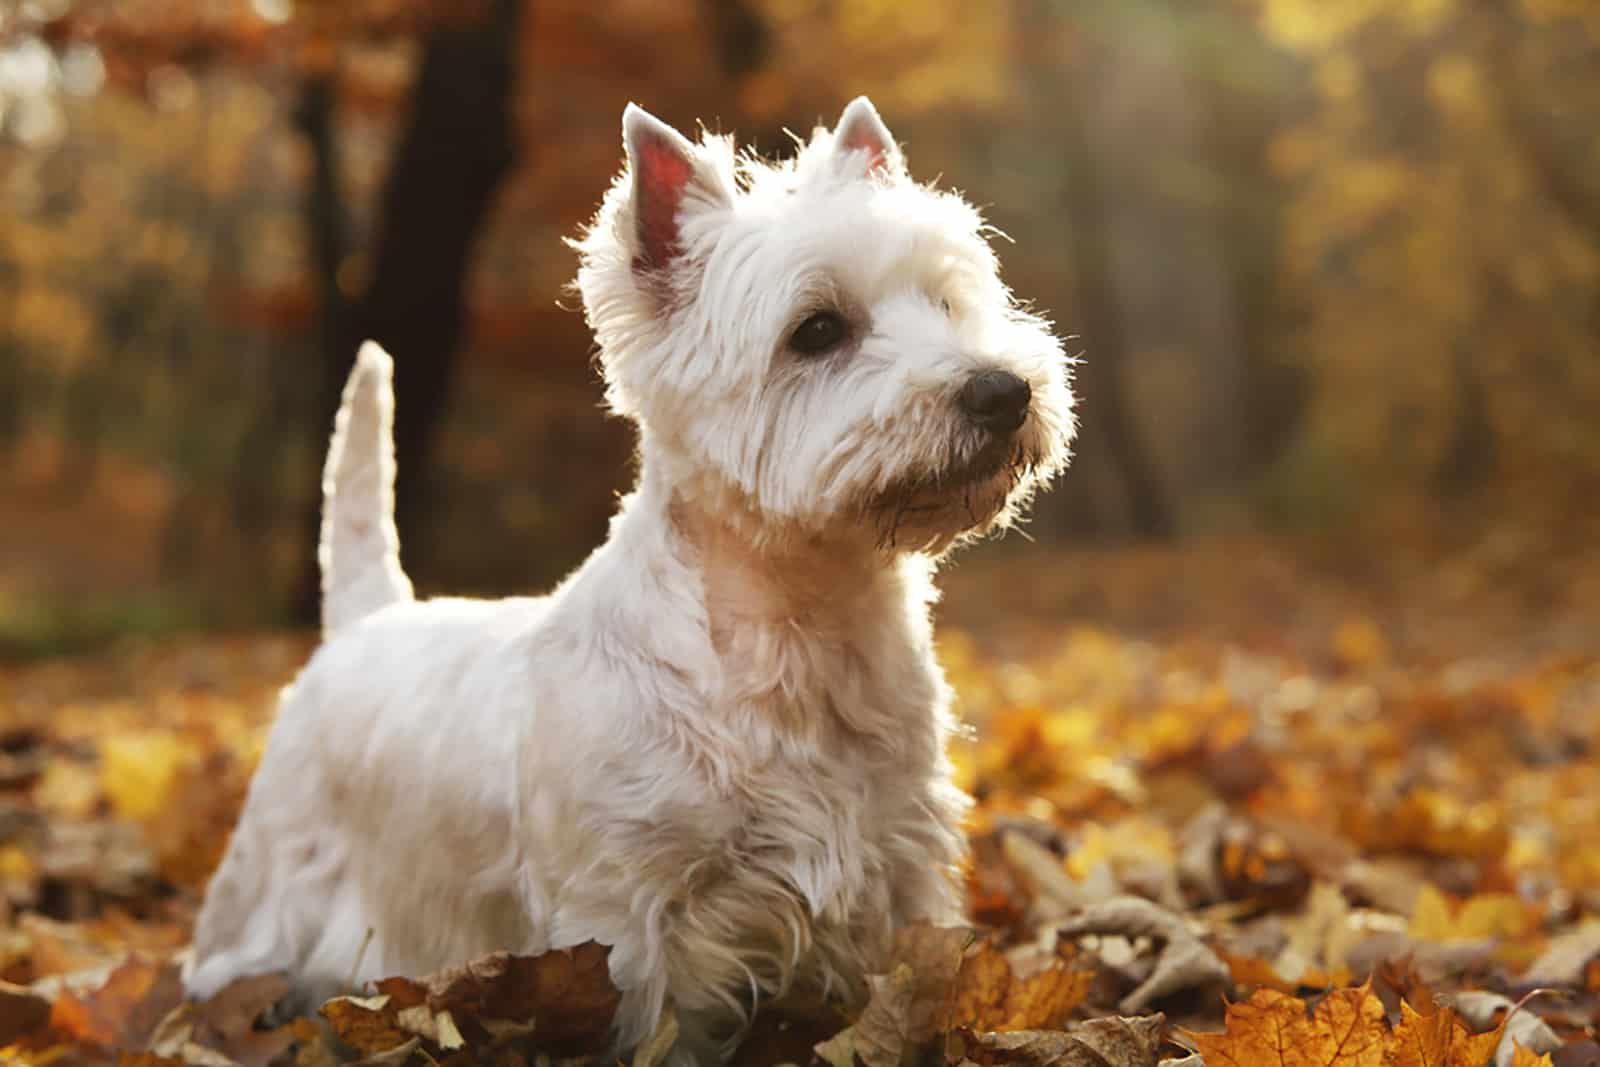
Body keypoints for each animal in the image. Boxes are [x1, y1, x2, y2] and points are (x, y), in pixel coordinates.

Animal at [187, 97, 1081, 1062]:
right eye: (817, 330)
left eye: (949, 301)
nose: (1002, 391)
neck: (801, 629)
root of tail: (363, 620)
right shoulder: (625, 911)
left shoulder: (899, 862)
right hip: (277, 863)